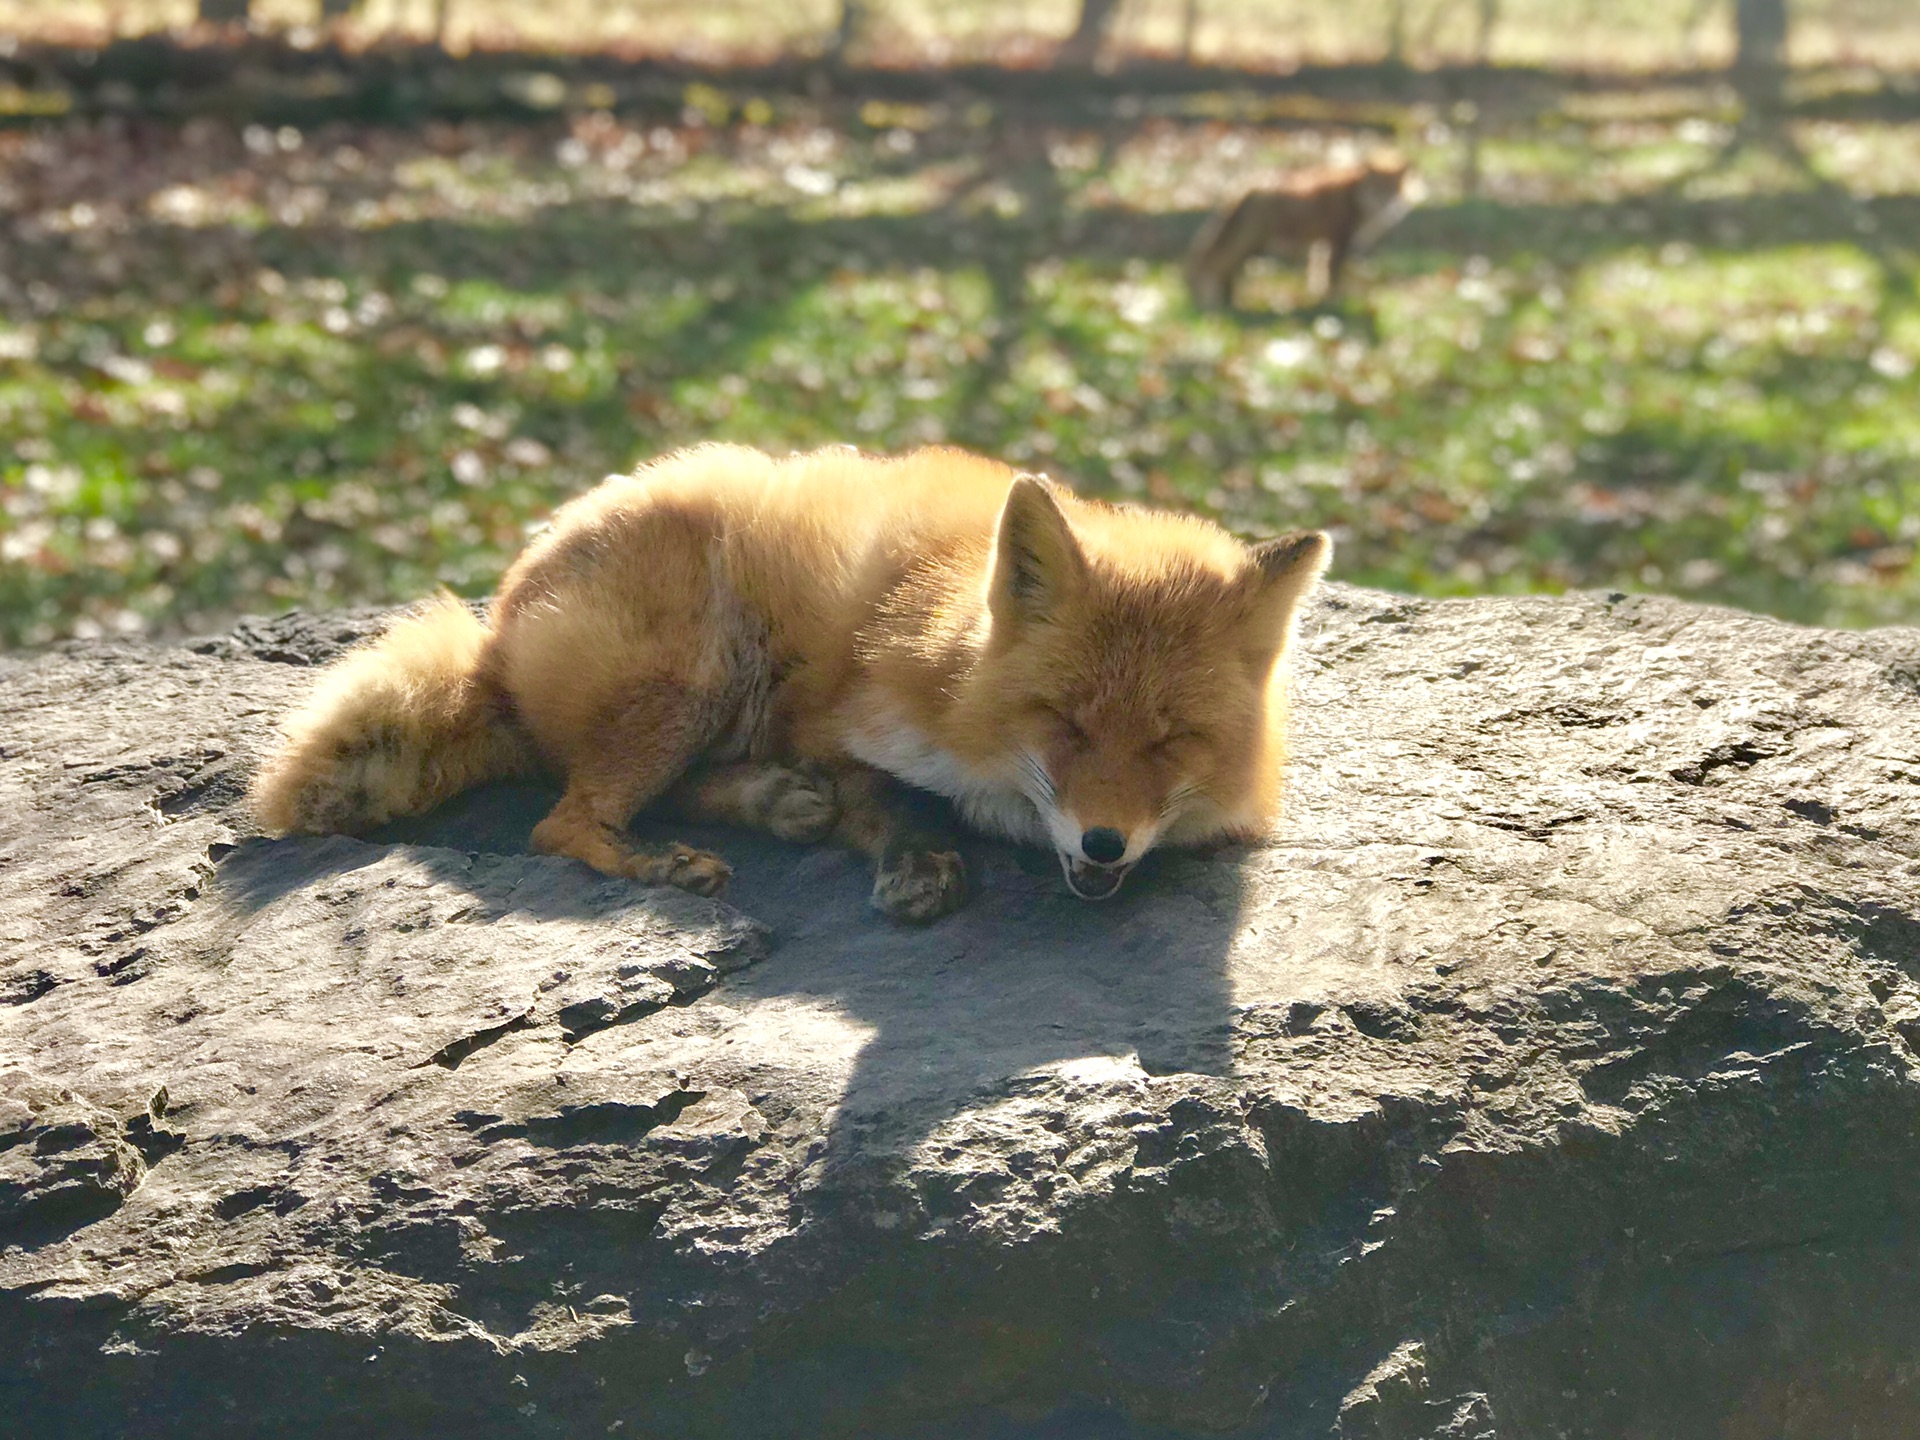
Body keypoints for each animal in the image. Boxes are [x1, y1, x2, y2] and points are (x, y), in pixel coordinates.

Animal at [251, 443, 1336, 925]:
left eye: (1168, 742)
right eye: (1064, 724)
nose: (1104, 843)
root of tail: (499, 632)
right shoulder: (840, 714)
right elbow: (888, 797)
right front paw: (917, 859)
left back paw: (764, 804)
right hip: (696, 675)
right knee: (561, 822)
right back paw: (668, 860)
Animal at [1182, 149, 1428, 311]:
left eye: (1394, 190)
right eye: (1378, 190)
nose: (1389, 209)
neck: (1355, 196)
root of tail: (1244, 186)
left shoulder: (1321, 245)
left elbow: (1317, 276)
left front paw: (1320, 298)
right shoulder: (1337, 242)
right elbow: (1331, 278)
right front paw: (1333, 301)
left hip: (1251, 248)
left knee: (1224, 270)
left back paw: (1227, 303)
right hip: (1251, 244)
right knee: (1214, 265)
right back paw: (1213, 303)